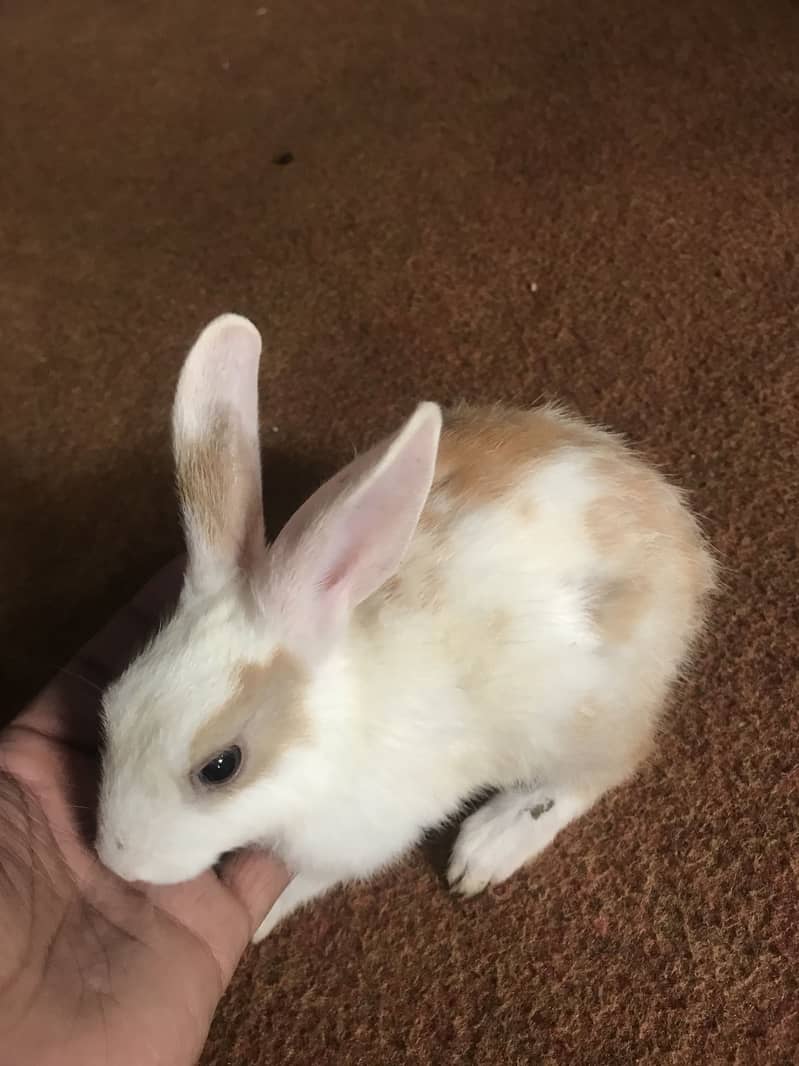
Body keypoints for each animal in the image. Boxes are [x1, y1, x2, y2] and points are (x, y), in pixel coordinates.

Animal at [96, 313, 717, 941]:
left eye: (221, 767)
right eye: (112, 705)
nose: (116, 860)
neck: (337, 733)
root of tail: (681, 540)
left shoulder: (359, 841)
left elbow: (308, 880)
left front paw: (263, 919)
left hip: (577, 715)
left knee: (604, 768)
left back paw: (488, 846)